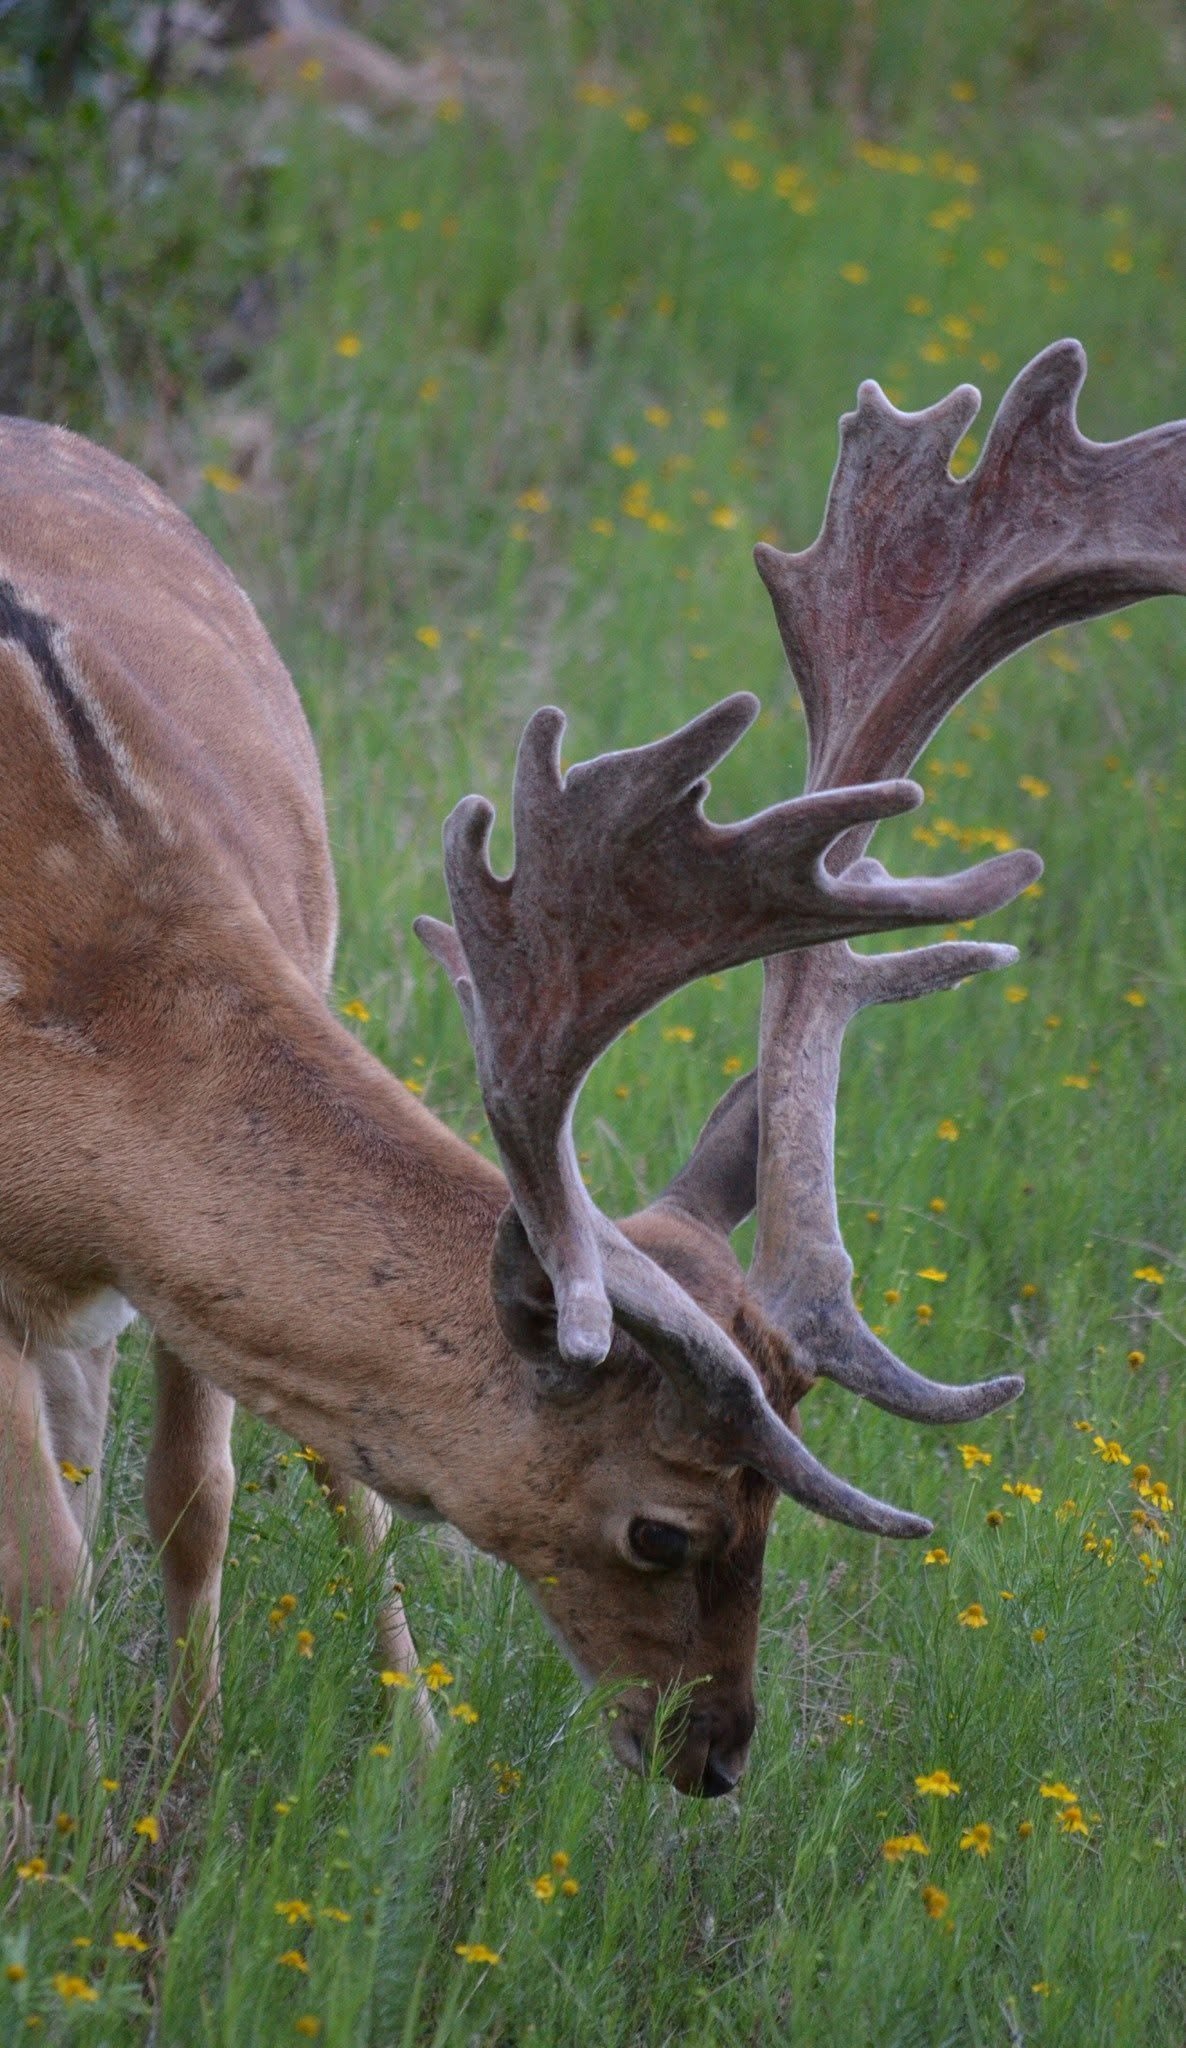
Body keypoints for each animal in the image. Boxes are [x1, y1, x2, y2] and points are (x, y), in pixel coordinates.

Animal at [2, 339, 1182, 1799]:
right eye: (662, 1528)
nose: (715, 1749)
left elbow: (197, 1502)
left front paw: (183, 1788)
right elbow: (48, 1563)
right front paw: (71, 1817)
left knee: (288, 1465)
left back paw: (417, 1741)